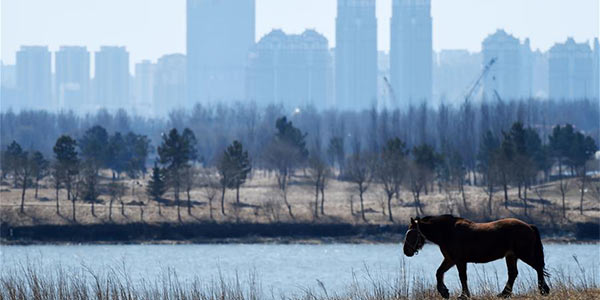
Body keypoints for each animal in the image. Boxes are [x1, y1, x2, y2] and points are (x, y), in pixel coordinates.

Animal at [404, 214, 548, 298]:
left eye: (411, 233)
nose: (406, 251)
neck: (447, 232)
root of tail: (529, 226)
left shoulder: (459, 261)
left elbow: (462, 277)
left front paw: (464, 295)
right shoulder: (450, 260)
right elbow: (439, 273)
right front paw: (444, 292)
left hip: (525, 254)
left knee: (538, 268)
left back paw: (543, 290)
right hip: (511, 256)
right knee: (513, 273)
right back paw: (504, 294)